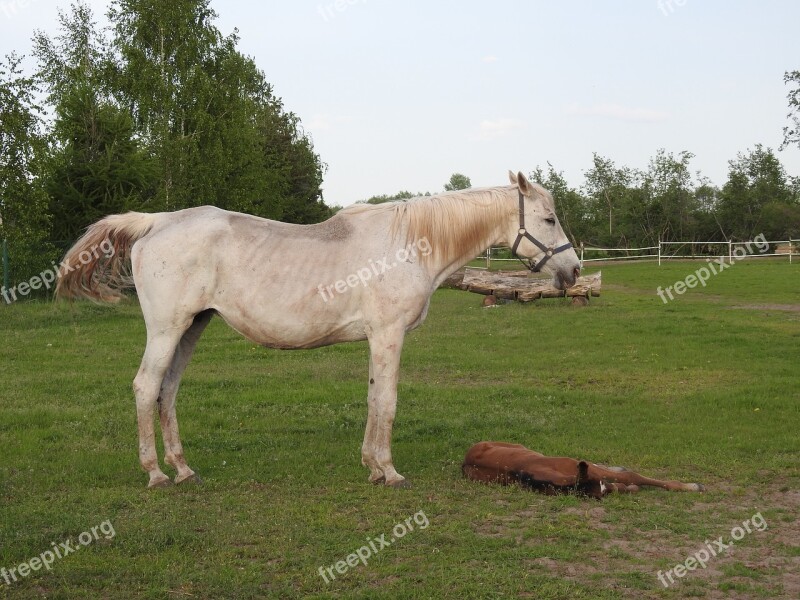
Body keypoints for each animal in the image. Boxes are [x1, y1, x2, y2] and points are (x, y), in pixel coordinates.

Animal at [57, 171, 580, 490]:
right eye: (549, 218)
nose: (573, 270)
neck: (408, 244)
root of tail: (158, 222)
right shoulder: (388, 334)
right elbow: (387, 401)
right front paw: (390, 471)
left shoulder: (377, 339)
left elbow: (372, 397)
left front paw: (372, 467)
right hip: (168, 329)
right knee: (147, 387)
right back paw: (156, 474)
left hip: (191, 328)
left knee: (167, 390)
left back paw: (183, 469)